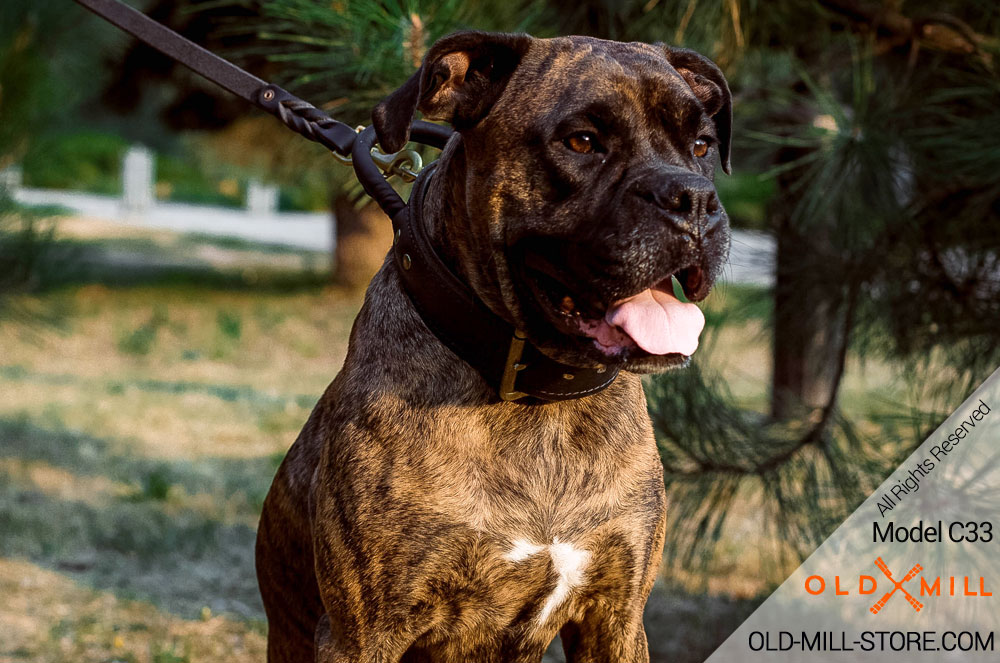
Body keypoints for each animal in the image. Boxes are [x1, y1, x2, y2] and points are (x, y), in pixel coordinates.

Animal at [254, 31, 732, 663]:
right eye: (582, 141)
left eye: (702, 145)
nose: (694, 198)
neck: (541, 402)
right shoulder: (361, 632)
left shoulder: (617, 617)